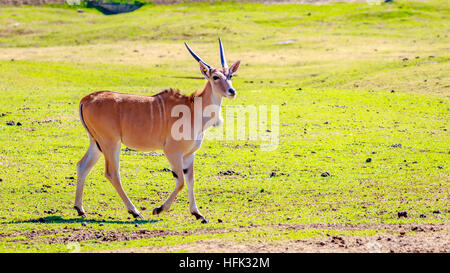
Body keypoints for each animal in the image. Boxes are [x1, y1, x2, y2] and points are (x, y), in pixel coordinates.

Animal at [74, 38, 239, 222]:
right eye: (215, 77)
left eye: (230, 75)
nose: (232, 91)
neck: (192, 108)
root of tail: (86, 99)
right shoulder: (172, 151)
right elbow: (181, 181)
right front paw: (159, 209)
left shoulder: (189, 154)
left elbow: (190, 180)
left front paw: (198, 214)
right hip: (110, 143)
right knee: (112, 173)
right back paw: (135, 211)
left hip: (96, 143)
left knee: (82, 166)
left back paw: (80, 209)